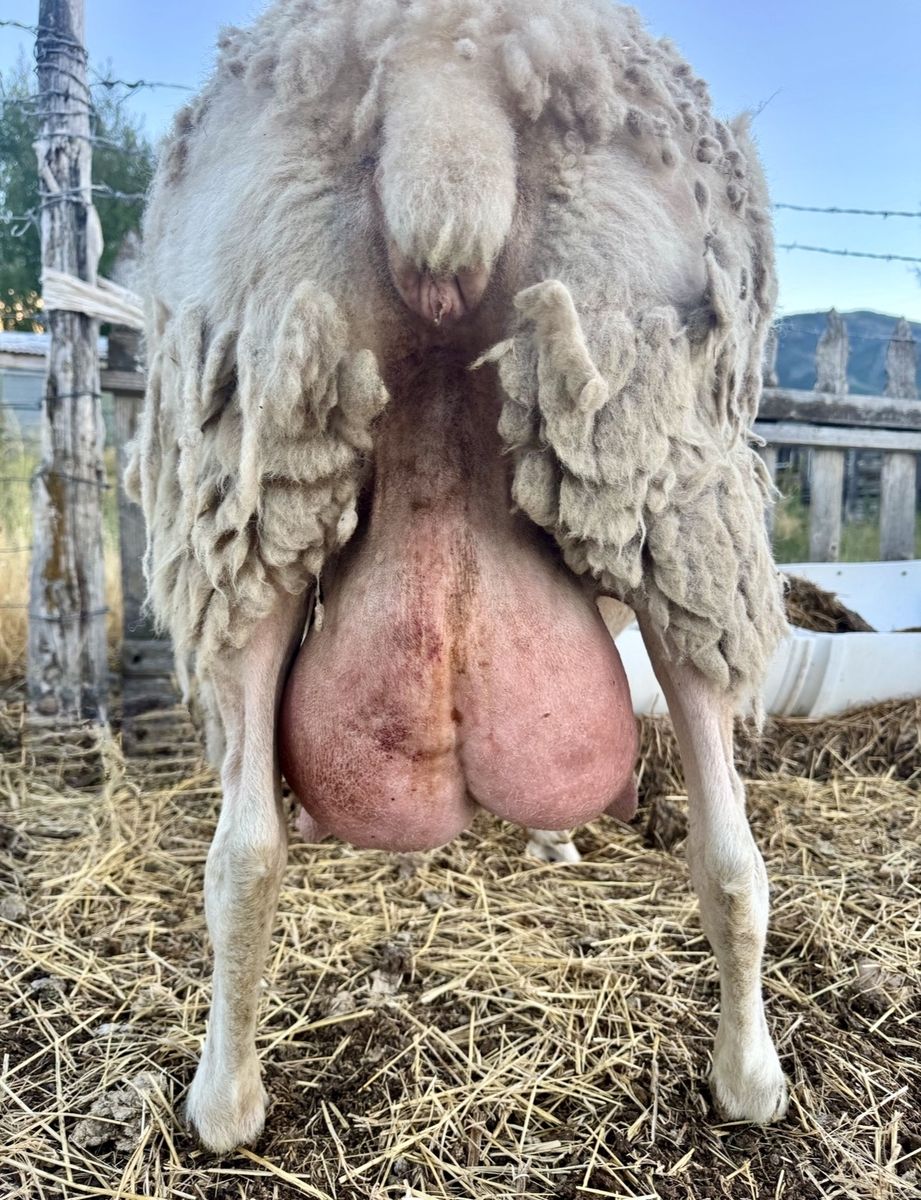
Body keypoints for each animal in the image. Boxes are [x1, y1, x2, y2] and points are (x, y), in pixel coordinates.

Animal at [128, 0, 790, 1152]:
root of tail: (442, 73)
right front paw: (555, 842)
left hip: (263, 416)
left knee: (243, 852)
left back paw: (225, 1106)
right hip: (658, 442)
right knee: (728, 851)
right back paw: (749, 1077)